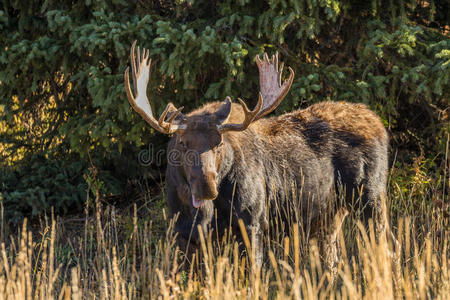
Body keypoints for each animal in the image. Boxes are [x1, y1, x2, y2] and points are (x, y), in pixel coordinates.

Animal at [124, 41, 390, 266]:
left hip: (370, 196)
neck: (206, 212)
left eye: (219, 143)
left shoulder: (252, 223)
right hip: (328, 215)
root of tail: (378, 122)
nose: (206, 186)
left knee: (385, 246)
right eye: (182, 143)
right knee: (332, 259)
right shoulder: (184, 233)